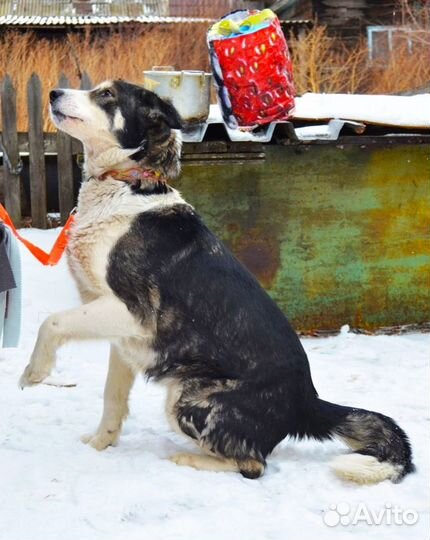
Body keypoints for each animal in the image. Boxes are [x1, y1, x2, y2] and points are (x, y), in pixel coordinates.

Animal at [18, 79, 414, 480]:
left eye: (106, 95)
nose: (53, 93)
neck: (126, 184)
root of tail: (308, 402)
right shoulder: (122, 336)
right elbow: (112, 398)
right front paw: (100, 445)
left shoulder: (131, 311)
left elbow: (52, 322)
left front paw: (34, 372)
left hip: (189, 401)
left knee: (253, 464)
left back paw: (188, 459)